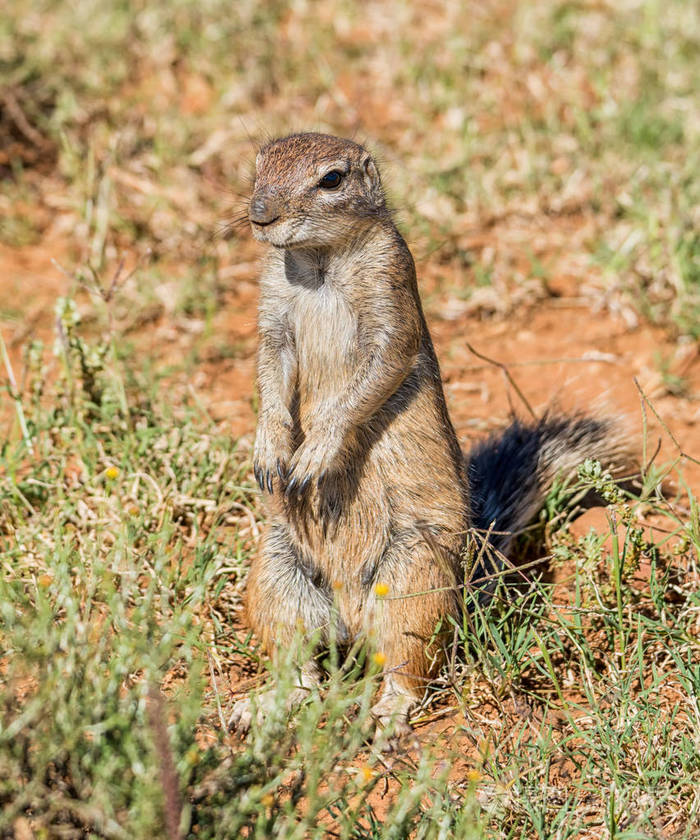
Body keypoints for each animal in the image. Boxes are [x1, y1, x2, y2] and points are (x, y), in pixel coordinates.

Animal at [231, 131, 628, 736]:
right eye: (258, 165)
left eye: (331, 179)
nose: (260, 214)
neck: (319, 259)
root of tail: (351, 618)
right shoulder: (272, 313)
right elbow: (270, 374)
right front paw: (270, 450)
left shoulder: (390, 292)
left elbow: (374, 374)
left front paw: (316, 453)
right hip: (278, 575)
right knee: (300, 669)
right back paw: (264, 705)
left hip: (412, 579)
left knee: (407, 664)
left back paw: (388, 712)